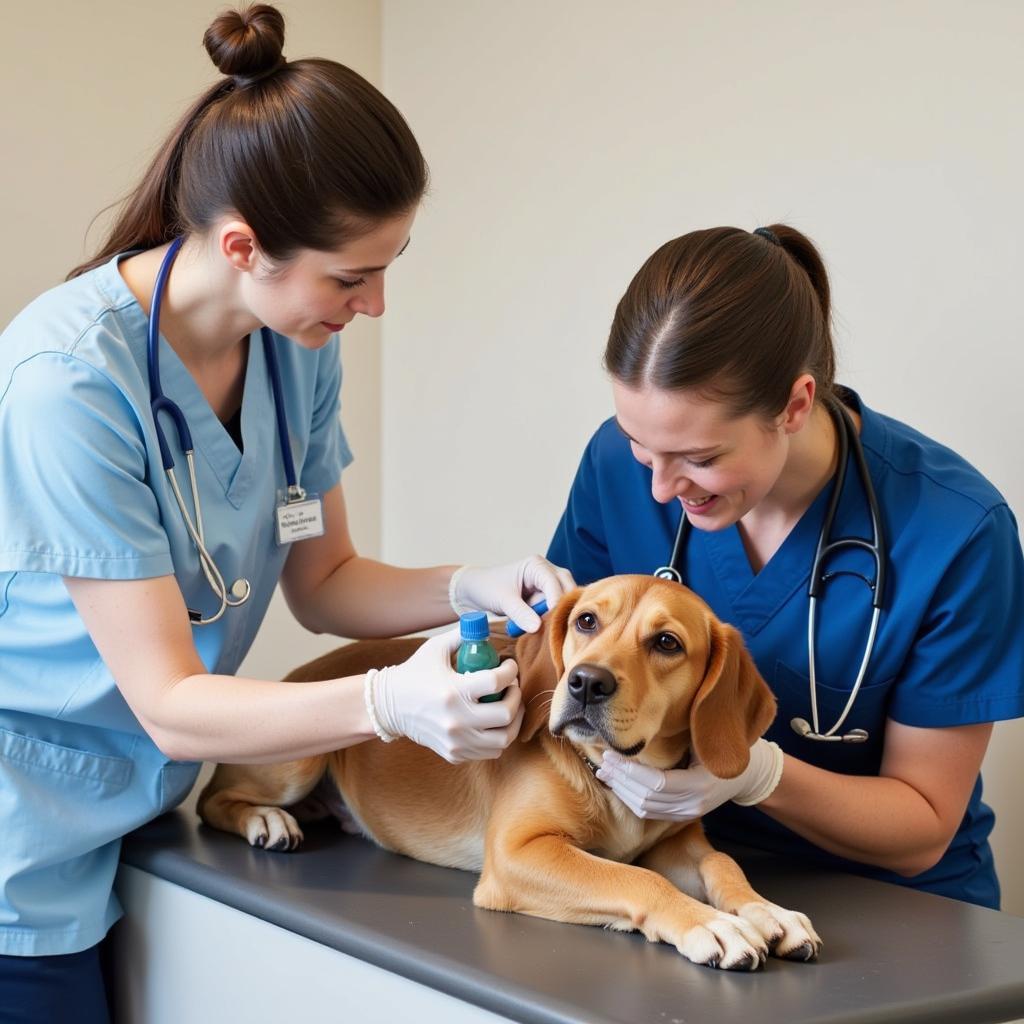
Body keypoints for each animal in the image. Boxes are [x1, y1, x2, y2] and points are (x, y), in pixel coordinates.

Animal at [201, 577, 823, 966]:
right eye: (587, 620)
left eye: (667, 642)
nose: (585, 682)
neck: (609, 775)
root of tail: (299, 672)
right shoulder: (517, 854)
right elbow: (635, 879)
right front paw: (709, 924)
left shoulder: (678, 841)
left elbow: (722, 864)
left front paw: (766, 911)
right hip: (297, 757)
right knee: (211, 802)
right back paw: (266, 820)